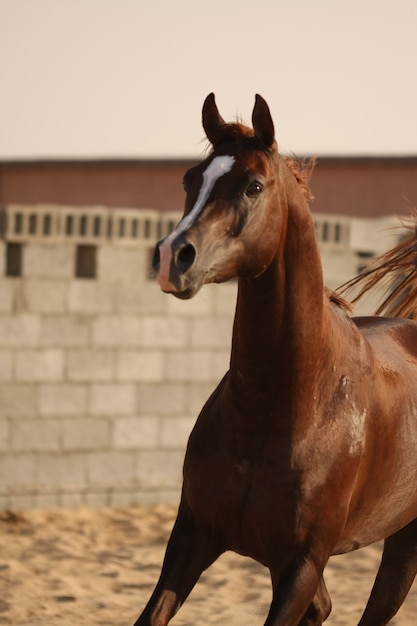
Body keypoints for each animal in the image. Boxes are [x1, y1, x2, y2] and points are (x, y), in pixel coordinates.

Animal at [134, 94, 417, 624]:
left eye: (253, 186)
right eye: (189, 179)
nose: (171, 257)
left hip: (403, 544)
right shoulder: (192, 538)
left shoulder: (301, 564)